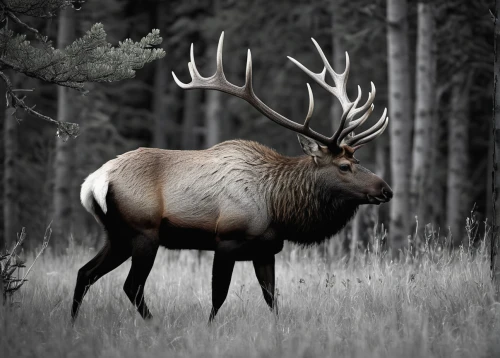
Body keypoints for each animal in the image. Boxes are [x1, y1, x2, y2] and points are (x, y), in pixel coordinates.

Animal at [70, 32, 392, 322]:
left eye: (357, 159)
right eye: (343, 166)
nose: (386, 189)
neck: (278, 206)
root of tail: (93, 183)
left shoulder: (266, 249)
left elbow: (271, 298)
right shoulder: (227, 238)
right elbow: (218, 296)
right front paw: (210, 328)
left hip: (117, 235)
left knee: (85, 272)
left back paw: (73, 322)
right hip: (143, 232)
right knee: (131, 285)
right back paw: (154, 324)